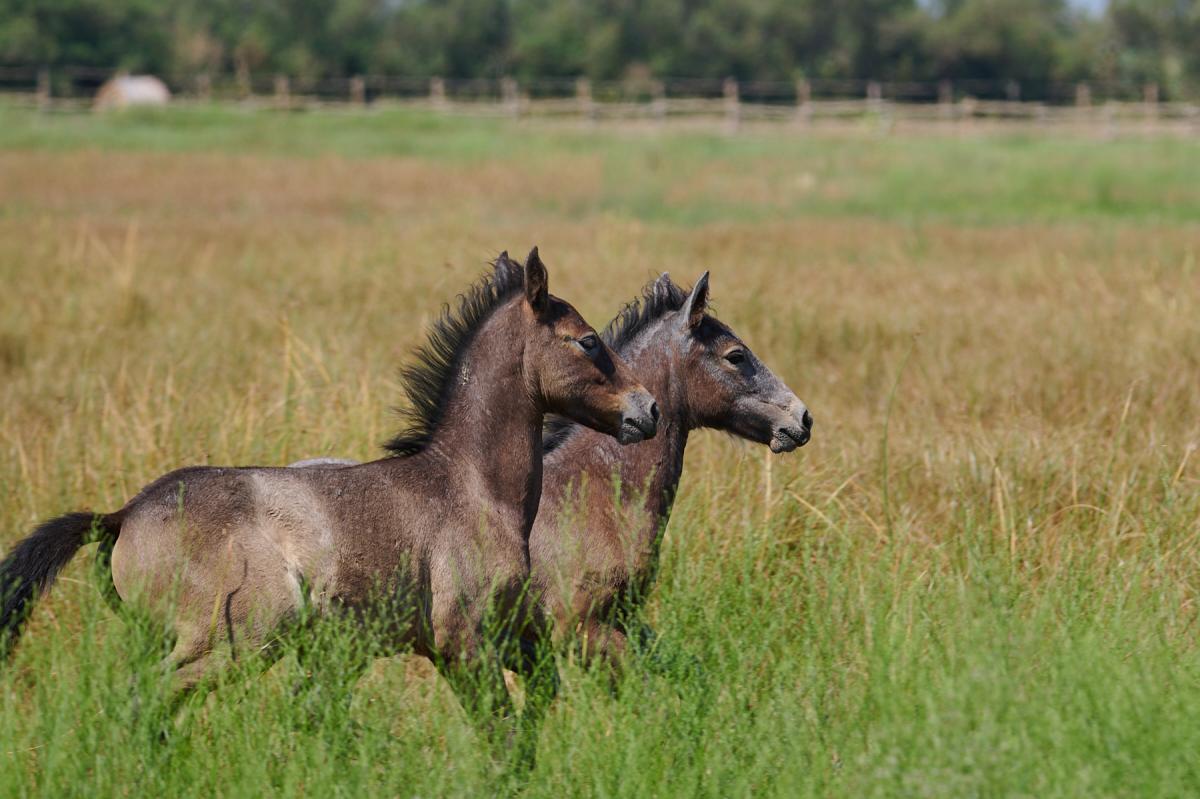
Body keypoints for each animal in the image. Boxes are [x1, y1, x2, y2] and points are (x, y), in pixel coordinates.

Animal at [0, 248, 659, 749]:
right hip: (237, 639)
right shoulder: (463, 641)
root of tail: (123, 515)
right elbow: (505, 735)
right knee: (148, 698)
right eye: (588, 341)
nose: (647, 409)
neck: (468, 487)